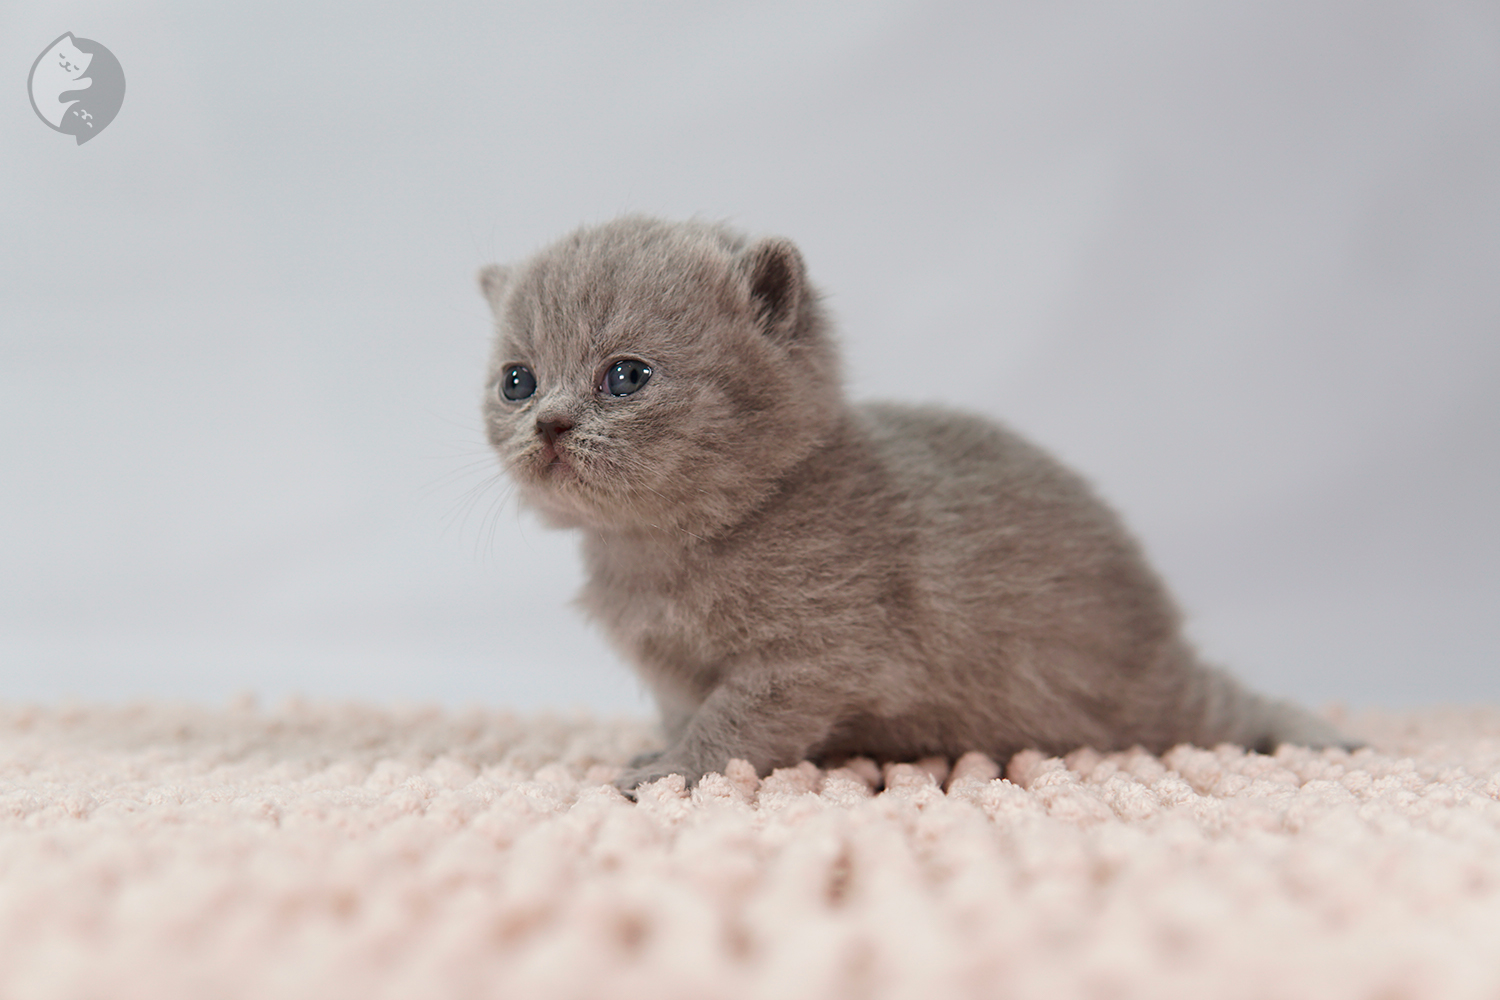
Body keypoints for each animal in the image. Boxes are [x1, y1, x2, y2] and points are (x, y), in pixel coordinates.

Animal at [480, 215, 1362, 791]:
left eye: (626, 376)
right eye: (517, 381)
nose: (549, 424)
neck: (659, 547)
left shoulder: (807, 660)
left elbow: (730, 727)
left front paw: (672, 772)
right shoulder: (674, 677)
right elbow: (684, 712)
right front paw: (655, 755)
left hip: (1138, 696)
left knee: (1235, 703)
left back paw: (1326, 739)